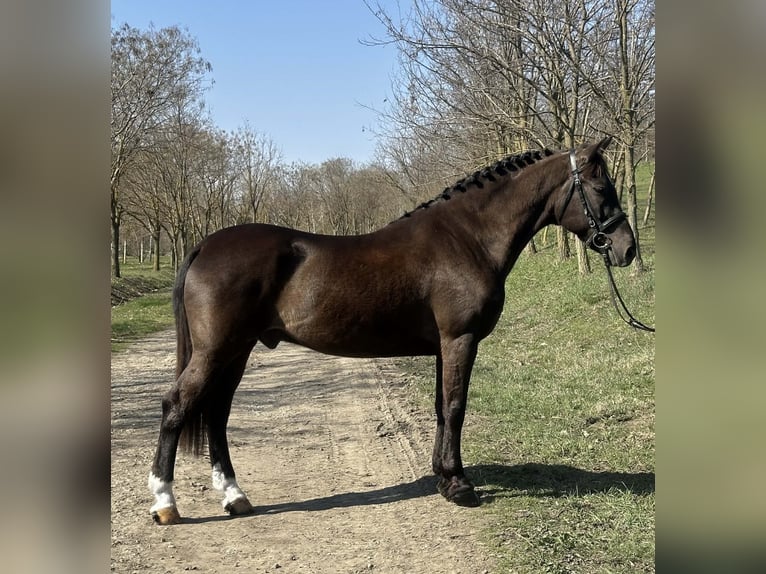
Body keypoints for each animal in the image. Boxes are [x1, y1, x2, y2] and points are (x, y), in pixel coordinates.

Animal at [148, 136, 636, 524]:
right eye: (601, 188)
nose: (627, 249)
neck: (469, 238)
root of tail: (206, 244)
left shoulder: (443, 346)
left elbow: (441, 408)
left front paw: (443, 477)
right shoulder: (460, 340)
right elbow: (455, 408)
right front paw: (460, 486)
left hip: (237, 350)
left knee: (216, 414)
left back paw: (235, 497)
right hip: (217, 350)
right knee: (176, 405)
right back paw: (165, 503)